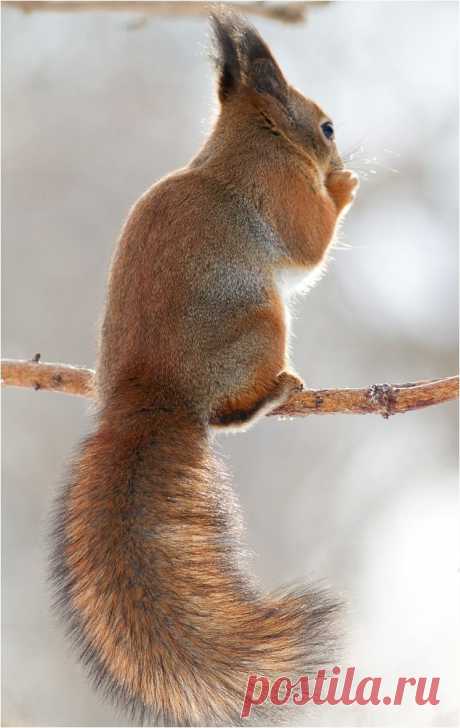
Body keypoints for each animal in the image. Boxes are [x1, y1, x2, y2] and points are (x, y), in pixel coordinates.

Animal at [51, 9, 359, 727]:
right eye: (326, 126)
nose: (341, 155)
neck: (247, 142)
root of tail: (151, 391)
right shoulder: (280, 194)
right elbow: (310, 244)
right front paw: (344, 186)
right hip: (264, 328)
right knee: (230, 411)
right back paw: (275, 392)